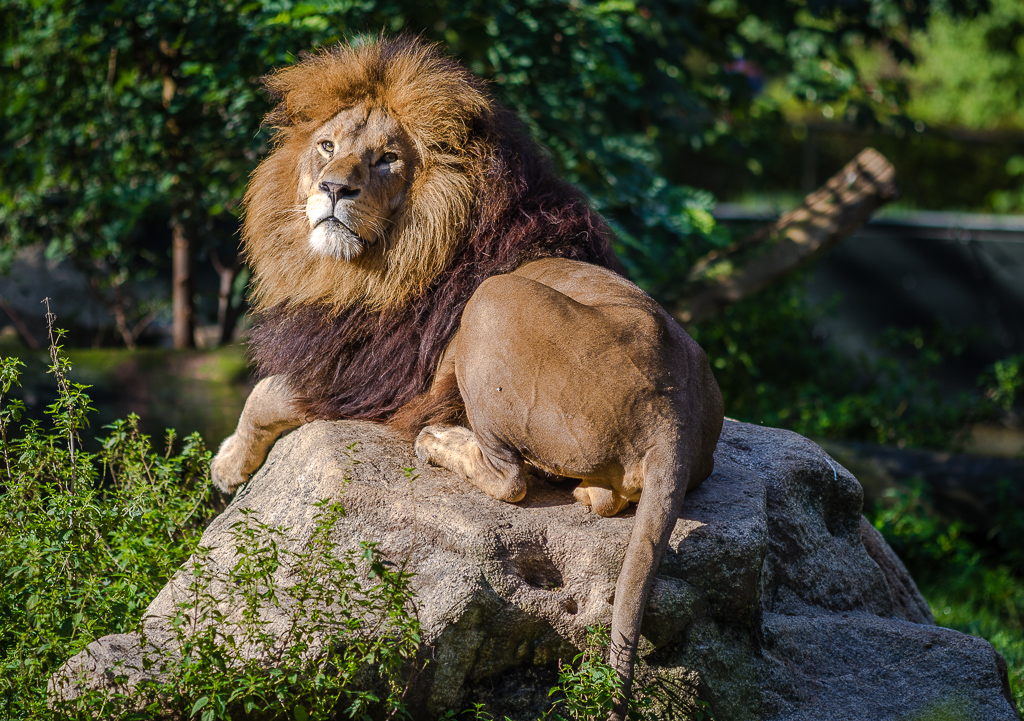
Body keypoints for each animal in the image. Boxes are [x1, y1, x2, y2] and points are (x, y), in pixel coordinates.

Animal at [211, 36, 724, 721]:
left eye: (386, 159)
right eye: (326, 145)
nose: (333, 189)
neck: (370, 267)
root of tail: (675, 415)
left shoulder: (371, 376)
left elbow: (265, 393)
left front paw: (228, 465)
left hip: (491, 302)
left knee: (512, 480)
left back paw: (439, 443)